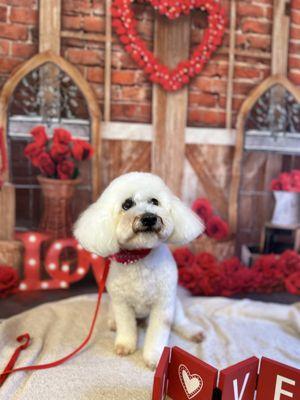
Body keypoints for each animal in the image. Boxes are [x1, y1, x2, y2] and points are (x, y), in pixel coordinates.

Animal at [74, 172, 205, 368]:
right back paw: (113, 323)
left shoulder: (163, 304)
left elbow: (158, 333)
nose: (149, 217)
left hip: (174, 303)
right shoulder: (122, 304)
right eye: (127, 204)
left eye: (155, 201)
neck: (139, 259)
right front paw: (125, 345)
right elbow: (126, 326)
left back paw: (193, 331)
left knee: (181, 320)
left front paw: (155, 357)